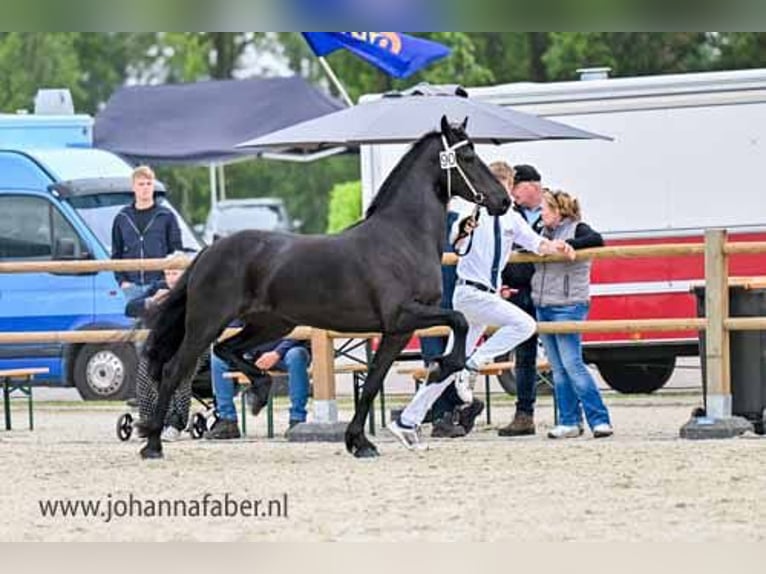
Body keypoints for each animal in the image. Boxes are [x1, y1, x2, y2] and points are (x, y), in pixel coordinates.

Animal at [140, 116, 510, 460]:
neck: (402, 237)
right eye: (469, 157)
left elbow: (373, 382)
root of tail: (208, 250)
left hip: (271, 324)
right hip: (206, 322)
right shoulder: (403, 316)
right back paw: (153, 443)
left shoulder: (396, 330)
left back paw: (259, 391)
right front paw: (444, 369)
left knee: (226, 350)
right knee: (175, 369)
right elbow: (459, 320)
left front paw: (360, 442)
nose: (503, 200)